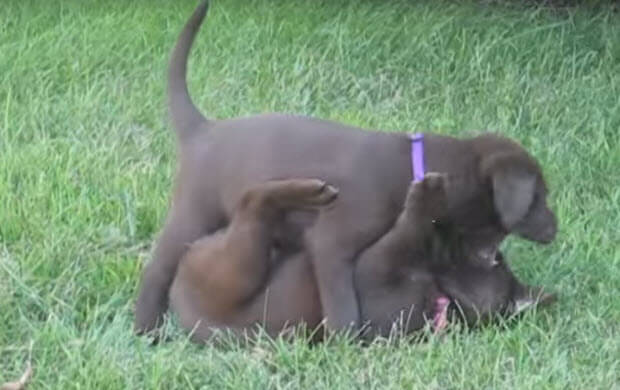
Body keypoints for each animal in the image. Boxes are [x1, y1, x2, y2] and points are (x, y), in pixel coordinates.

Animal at [134, 1, 556, 334]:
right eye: (538, 198)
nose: (555, 230)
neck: (412, 165)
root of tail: (202, 129)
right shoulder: (334, 246)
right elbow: (344, 307)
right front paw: (346, 342)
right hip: (193, 215)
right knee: (157, 269)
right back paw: (145, 327)